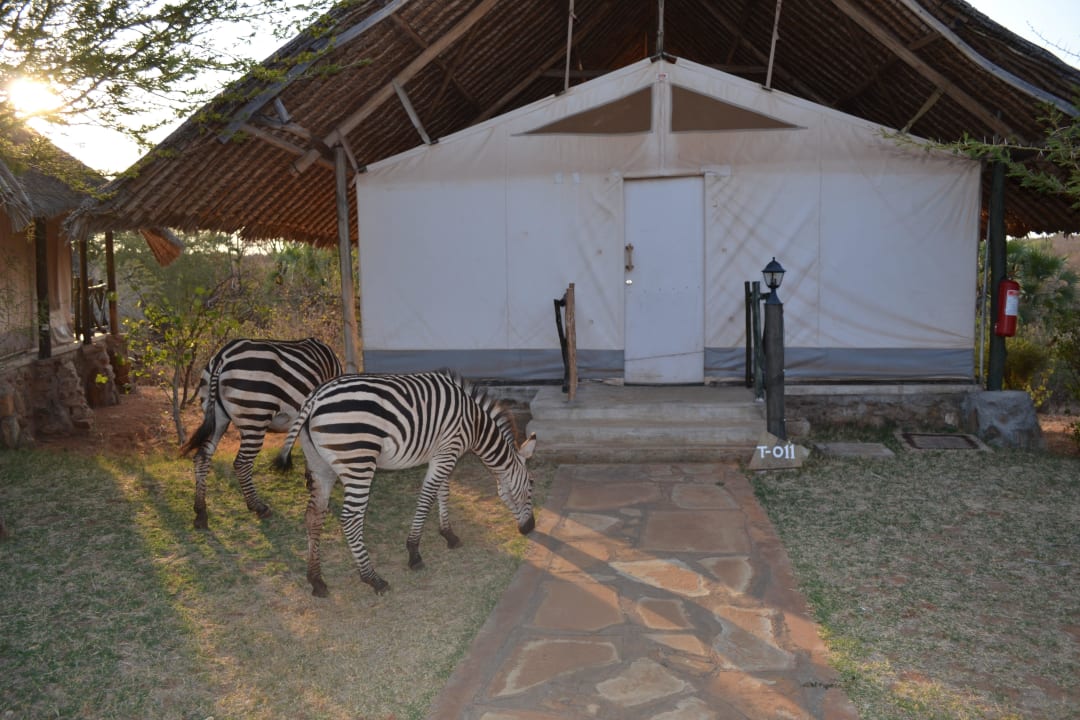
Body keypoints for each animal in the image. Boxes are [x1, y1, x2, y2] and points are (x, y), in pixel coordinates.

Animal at [181, 337, 342, 530]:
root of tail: (223, 355)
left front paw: (310, 480)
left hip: (217, 417)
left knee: (202, 457)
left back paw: (200, 512)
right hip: (255, 416)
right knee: (241, 463)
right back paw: (258, 507)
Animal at [274, 371, 537, 597]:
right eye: (531, 486)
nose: (530, 528)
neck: (475, 424)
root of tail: (315, 397)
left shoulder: (441, 454)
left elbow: (443, 491)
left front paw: (448, 534)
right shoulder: (447, 452)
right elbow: (427, 498)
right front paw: (414, 553)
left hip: (320, 466)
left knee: (313, 516)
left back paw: (316, 580)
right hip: (358, 462)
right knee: (350, 519)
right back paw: (373, 578)